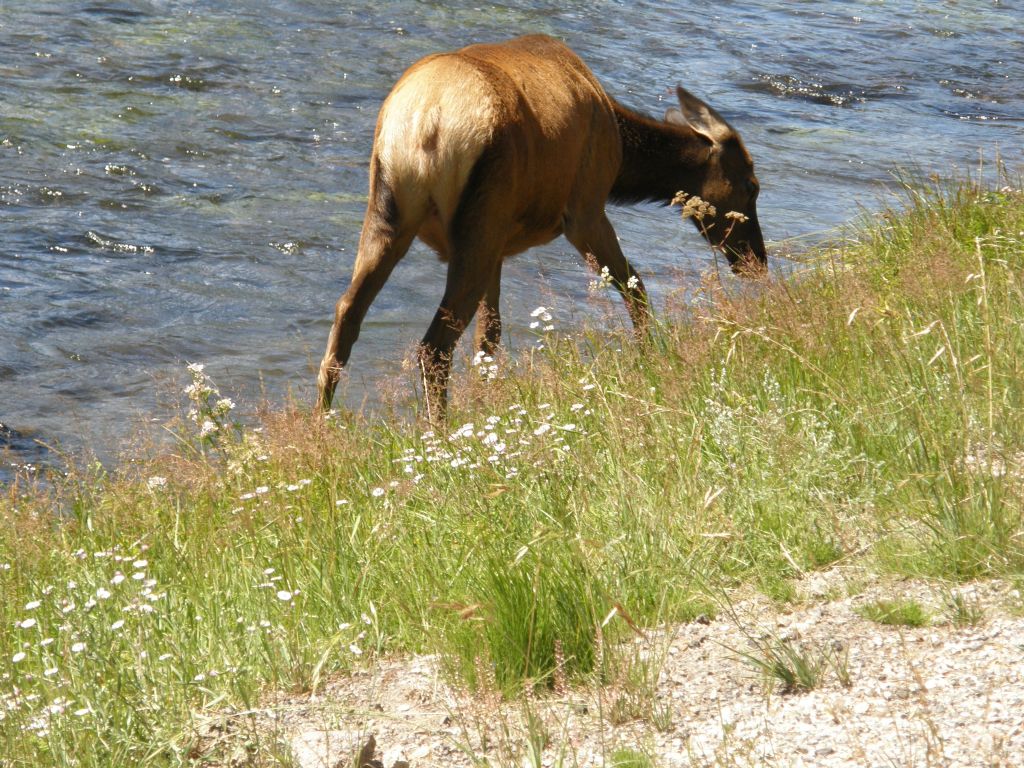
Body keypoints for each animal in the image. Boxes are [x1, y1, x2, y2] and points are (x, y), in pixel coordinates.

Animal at [315, 31, 765, 421]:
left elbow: (490, 334)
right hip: (479, 220)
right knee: (433, 346)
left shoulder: (501, 245)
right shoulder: (585, 210)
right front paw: (652, 357)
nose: (756, 261)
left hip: (394, 216)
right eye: (752, 185)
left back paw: (323, 423)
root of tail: (427, 121)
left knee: (346, 315)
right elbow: (635, 287)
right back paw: (438, 434)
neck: (621, 153)